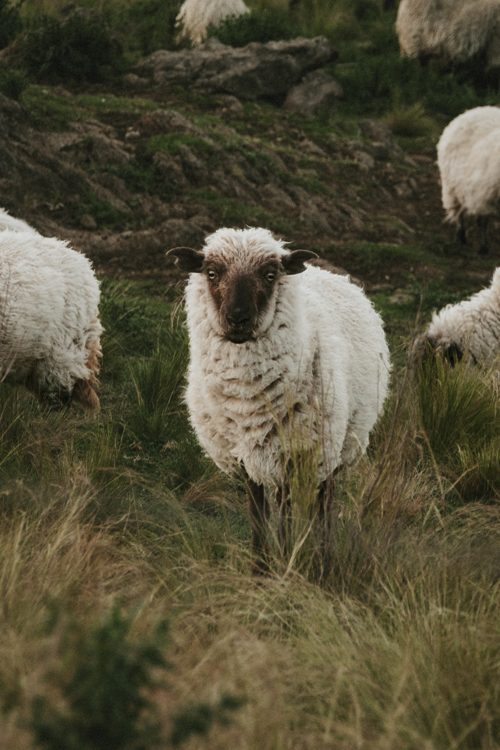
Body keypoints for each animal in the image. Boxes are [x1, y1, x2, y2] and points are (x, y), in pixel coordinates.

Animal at [169, 227, 390, 572]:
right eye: (212, 272)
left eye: (270, 274)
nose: (238, 318)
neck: (247, 397)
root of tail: (328, 273)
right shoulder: (245, 455)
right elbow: (258, 513)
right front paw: (260, 568)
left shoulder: (294, 450)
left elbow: (286, 514)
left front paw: (285, 563)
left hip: (336, 442)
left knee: (324, 502)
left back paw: (323, 557)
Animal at [437, 106, 500, 255]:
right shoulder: (484, 195)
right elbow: (482, 221)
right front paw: (483, 249)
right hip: (454, 187)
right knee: (461, 214)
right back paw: (462, 239)